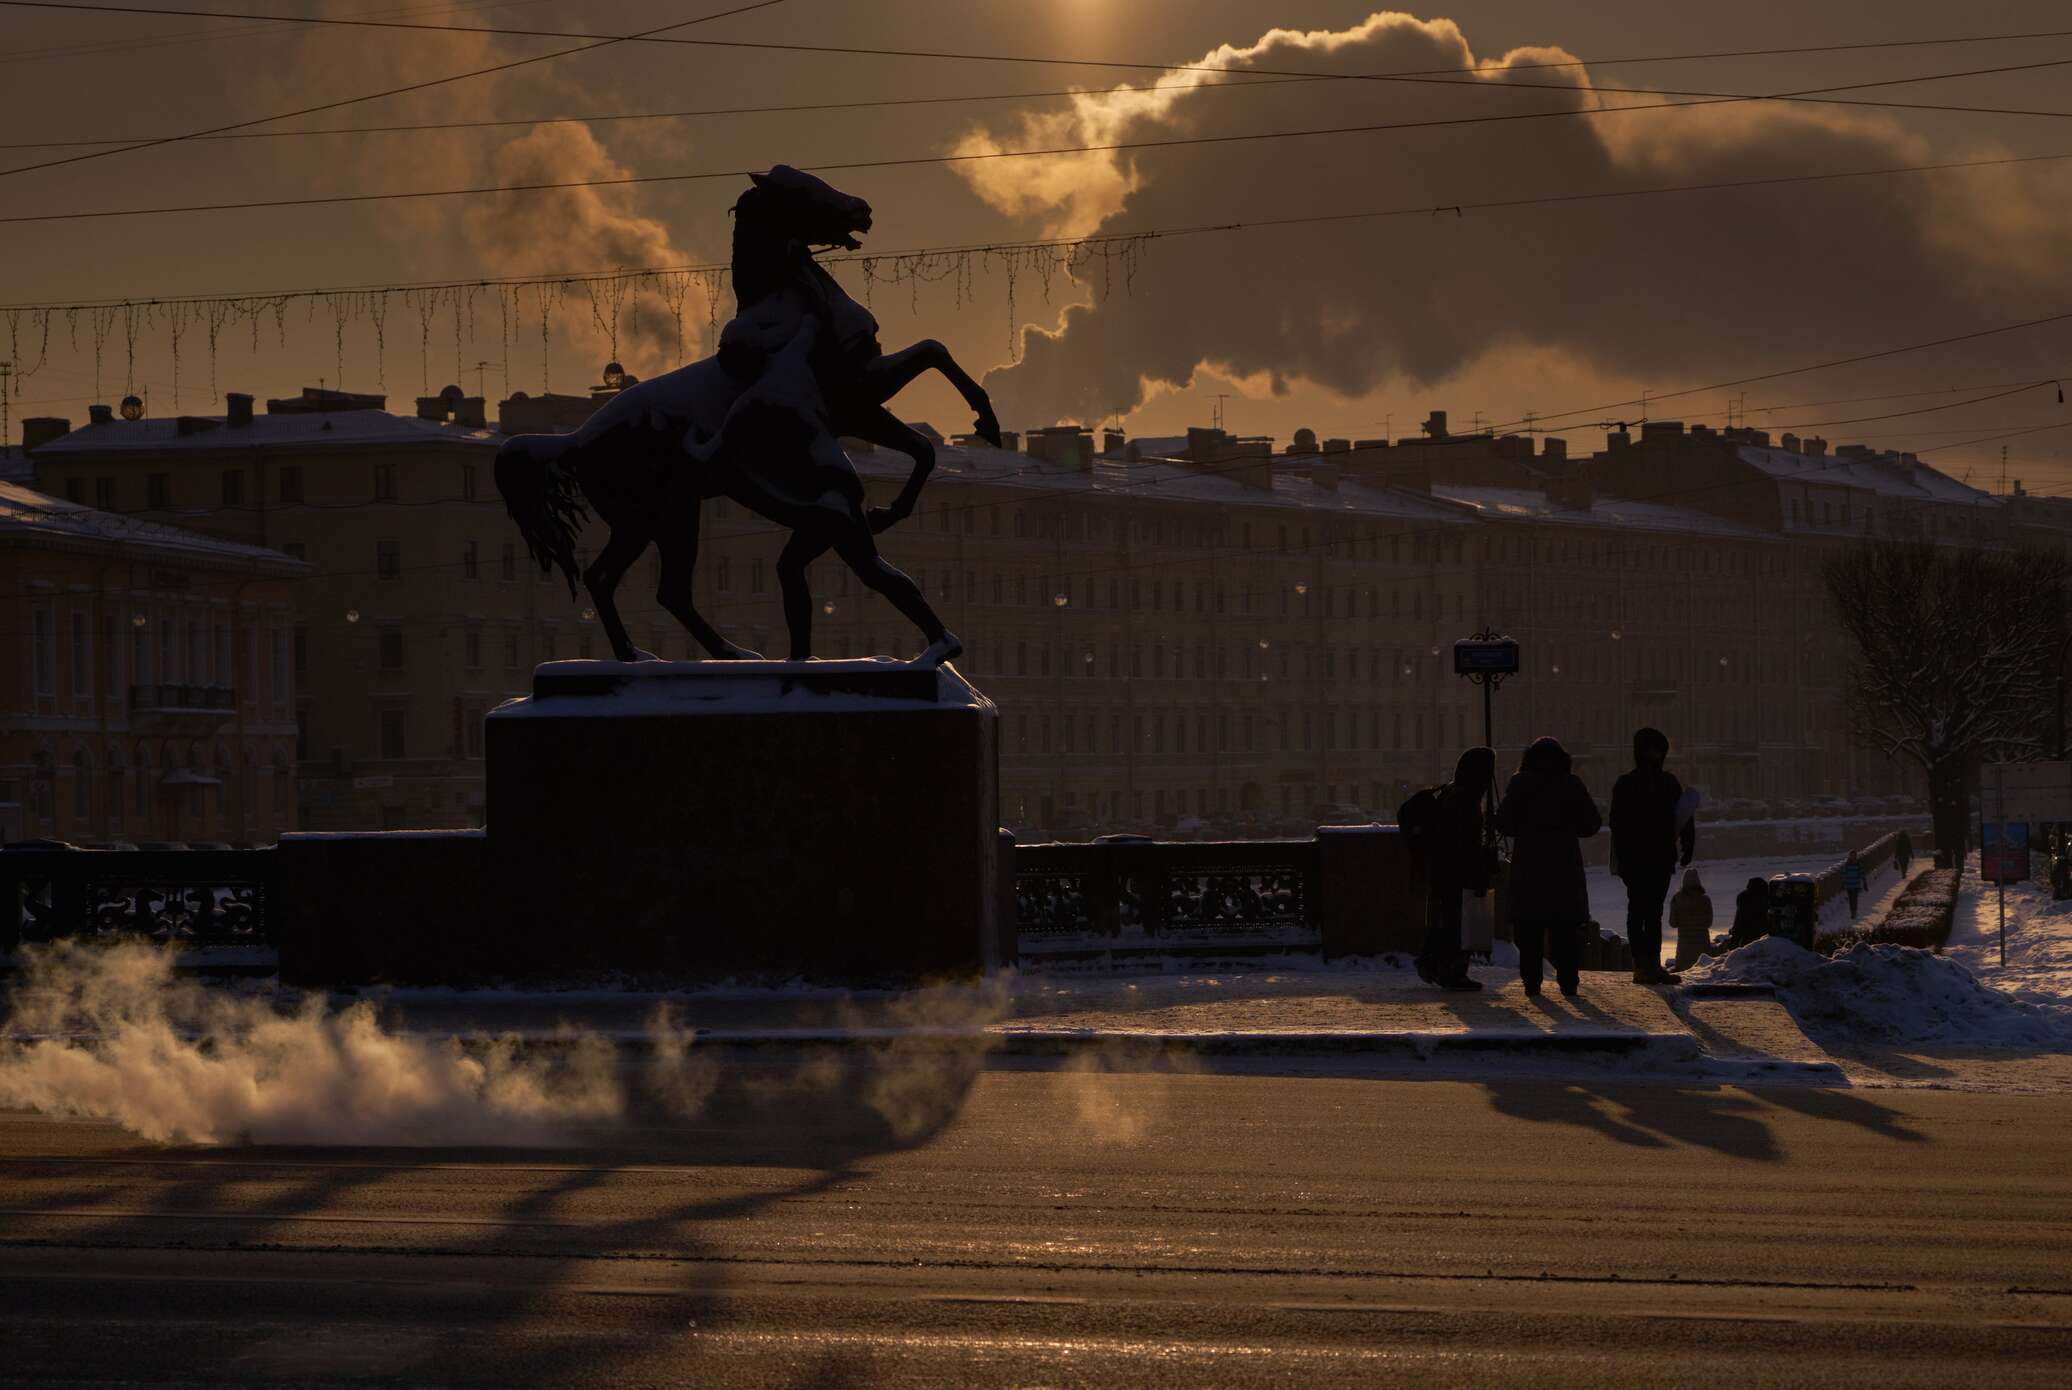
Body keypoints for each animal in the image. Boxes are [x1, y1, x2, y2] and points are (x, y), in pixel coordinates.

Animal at [493, 168, 994, 667]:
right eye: (802, 189)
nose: (862, 209)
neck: (789, 308)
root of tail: (576, 438)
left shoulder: (858, 403)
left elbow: (923, 432)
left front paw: (895, 506)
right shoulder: (857, 393)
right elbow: (933, 354)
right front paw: (983, 424)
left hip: (677, 515)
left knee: (669, 590)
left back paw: (725, 653)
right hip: (641, 520)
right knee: (606, 578)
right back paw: (640, 656)